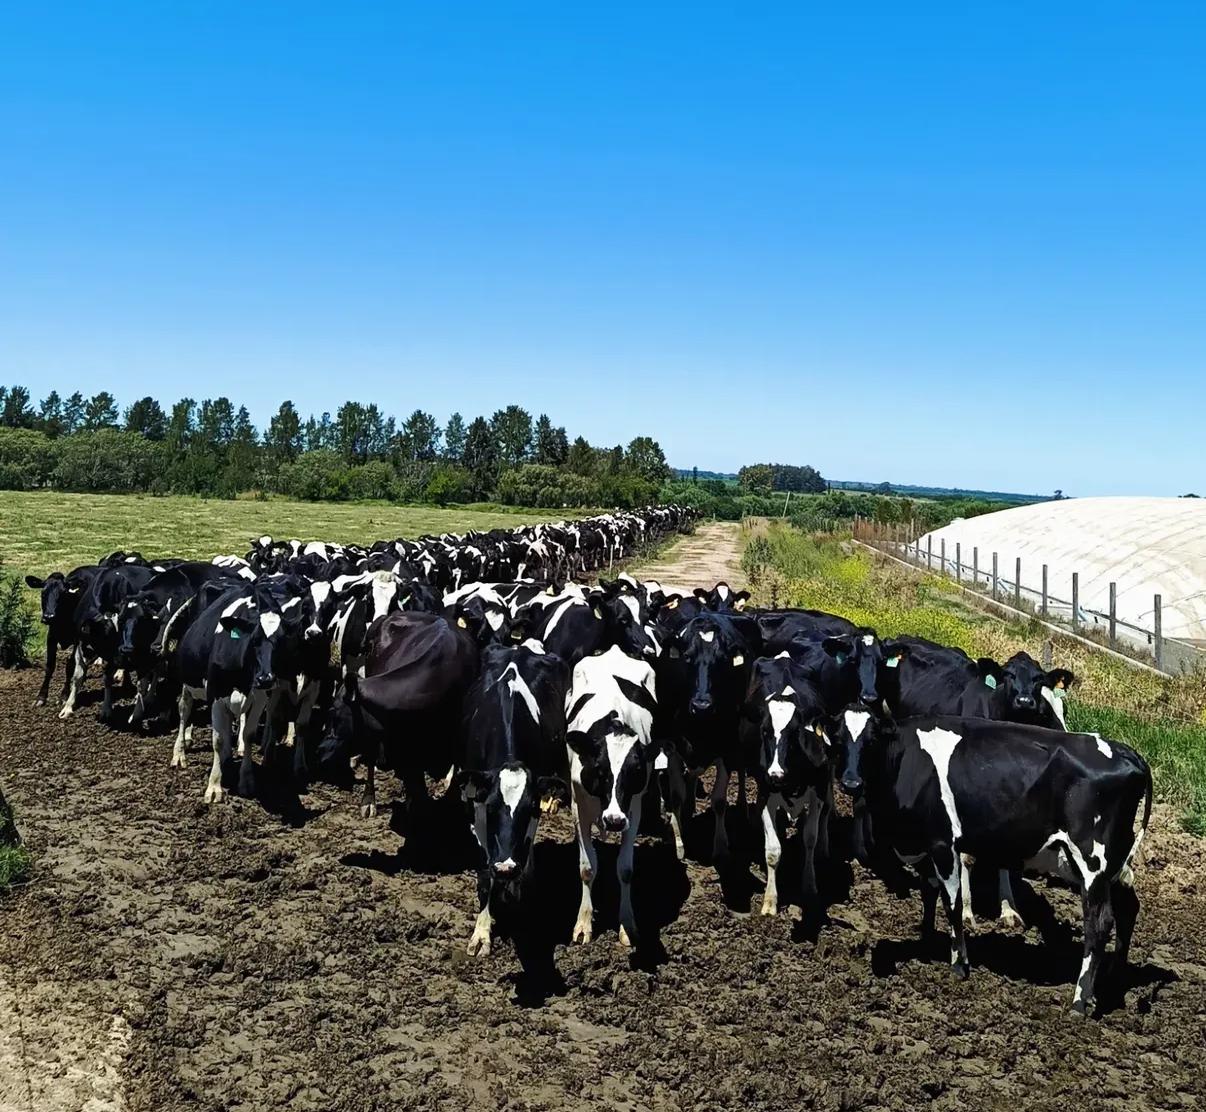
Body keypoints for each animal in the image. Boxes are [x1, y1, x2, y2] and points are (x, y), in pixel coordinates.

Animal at [459, 640, 570, 957]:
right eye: (492, 807)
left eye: (529, 807)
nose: (506, 868)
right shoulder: (476, 806)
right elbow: (485, 873)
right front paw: (481, 933)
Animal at [565, 644, 660, 947]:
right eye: (600, 769)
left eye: (636, 771)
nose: (614, 821)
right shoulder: (579, 805)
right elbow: (587, 867)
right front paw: (583, 924)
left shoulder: (634, 808)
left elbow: (626, 869)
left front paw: (627, 925)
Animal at [834, 712, 1151, 1014]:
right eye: (837, 738)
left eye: (872, 739)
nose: (851, 782)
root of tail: (1126, 752)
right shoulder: (925, 849)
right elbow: (929, 893)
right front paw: (927, 939)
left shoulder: (943, 843)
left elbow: (952, 904)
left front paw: (958, 965)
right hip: (1110, 862)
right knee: (1127, 908)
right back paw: (1111, 980)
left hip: (1092, 861)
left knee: (1099, 923)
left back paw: (1079, 1000)